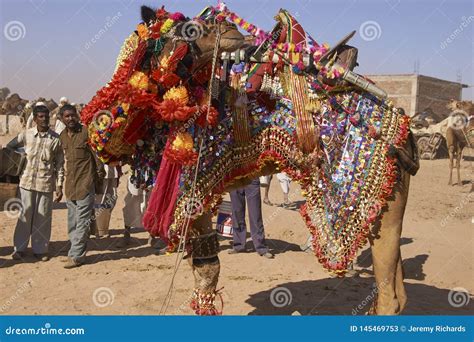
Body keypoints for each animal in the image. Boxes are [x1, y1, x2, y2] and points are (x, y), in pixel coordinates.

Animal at [81, 4, 418, 316]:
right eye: (188, 28)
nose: (229, 27)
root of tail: (402, 125)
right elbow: (202, 264)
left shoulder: (195, 187)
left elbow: (207, 270)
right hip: (387, 197)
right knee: (397, 288)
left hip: (368, 195)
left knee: (389, 295)